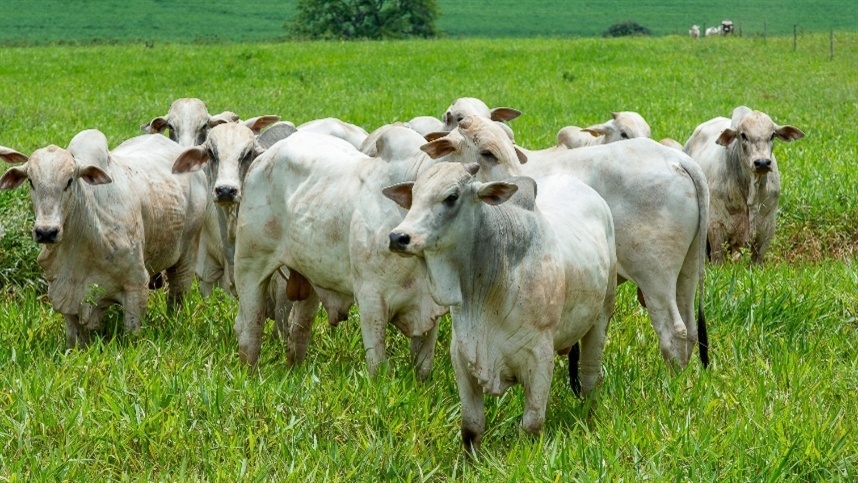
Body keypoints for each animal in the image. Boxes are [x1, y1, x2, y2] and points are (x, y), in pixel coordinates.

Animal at [0, 130, 206, 346]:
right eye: (30, 181)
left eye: (69, 181)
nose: (46, 232)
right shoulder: (64, 293)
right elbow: (74, 338)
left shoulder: (136, 285)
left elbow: (132, 334)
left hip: (188, 254)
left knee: (178, 294)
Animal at [234, 130, 448, 378]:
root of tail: (264, 157)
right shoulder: (371, 299)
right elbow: (378, 366)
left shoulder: (430, 310)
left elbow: (423, 366)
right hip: (249, 265)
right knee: (250, 330)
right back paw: (249, 373)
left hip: (309, 277)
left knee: (298, 330)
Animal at [382, 164, 616, 454]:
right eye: (414, 195)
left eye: (451, 197)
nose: (398, 237)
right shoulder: (462, 355)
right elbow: (471, 428)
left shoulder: (540, 358)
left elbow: (532, 425)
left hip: (602, 315)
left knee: (591, 377)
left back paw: (589, 416)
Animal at [422, 116, 708, 366]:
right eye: (487, 153)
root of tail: (678, 158)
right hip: (688, 271)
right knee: (691, 329)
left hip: (655, 276)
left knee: (674, 333)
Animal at [684, 106, 804, 264]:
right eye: (743, 135)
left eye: (772, 135)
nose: (762, 162)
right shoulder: (715, 226)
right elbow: (717, 260)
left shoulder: (767, 229)